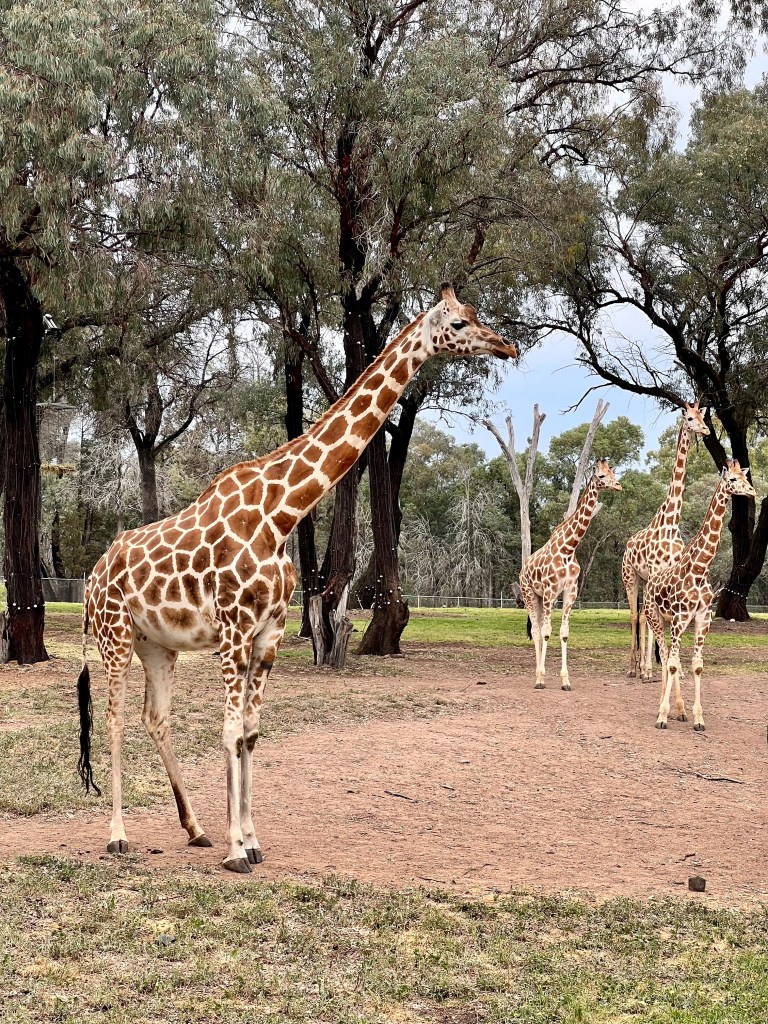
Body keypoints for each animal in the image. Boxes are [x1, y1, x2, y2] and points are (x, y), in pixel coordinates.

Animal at [76, 286, 516, 873]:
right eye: (461, 323)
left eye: (475, 315)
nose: (507, 345)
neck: (281, 515)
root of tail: (93, 575)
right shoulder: (234, 632)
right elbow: (229, 730)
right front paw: (236, 851)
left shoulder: (268, 635)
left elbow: (251, 734)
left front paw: (250, 840)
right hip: (114, 637)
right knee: (116, 717)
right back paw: (118, 836)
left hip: (158, 646)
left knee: (156, 718)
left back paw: (195, 829)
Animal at [519, 460, 622, 691]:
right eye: (601, 476)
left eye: (612, 472)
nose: (619, 486)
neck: (568, 548)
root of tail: (522, 570)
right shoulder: (550, 591)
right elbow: (546, 631)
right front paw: (542, 678)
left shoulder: (570, 591)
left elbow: (564, 632)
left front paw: (565, 681)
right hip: (529, 594)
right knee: (537, 630)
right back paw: (537, 677)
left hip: (539, 597)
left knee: (538, 628)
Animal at [623, 403, 710, 681]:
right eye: (690, 418)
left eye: (704, 416)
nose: (705, 429)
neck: (671, 523)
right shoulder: (654, 572)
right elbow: (650, 621)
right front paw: (650, 670)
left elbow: (669, 622)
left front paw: (675, 669)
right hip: (631, 576)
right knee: (635, 615)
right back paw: (635, 668)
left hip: (644, 581)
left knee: (642, 616)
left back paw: (643, 666)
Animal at [645, 459, 755, 732]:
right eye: (733, 480)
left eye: (744, 477)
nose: (752, 492)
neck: (700, 569)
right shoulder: (680, 616)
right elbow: (673, 663)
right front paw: (662, 717)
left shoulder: (703, 618)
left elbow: (696, 666)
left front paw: (697, 718)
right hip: (657, 618)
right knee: (667, 657)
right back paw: (663, 708)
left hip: (672, 622)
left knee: (671, 658)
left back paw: (681, 711)